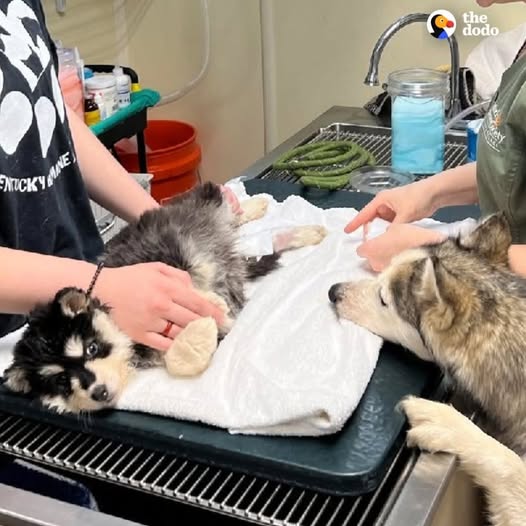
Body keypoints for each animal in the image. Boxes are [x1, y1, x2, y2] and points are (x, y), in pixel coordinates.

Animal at [3, 182, 327, 414]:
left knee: (222, 208)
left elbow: (193, 281)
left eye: (91, 348)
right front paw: (200, 338)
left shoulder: (169, 257)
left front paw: (215, 307)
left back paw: (259, 209)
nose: (99, 393)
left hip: (202, 204)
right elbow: (176, 360)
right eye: (60, 381)